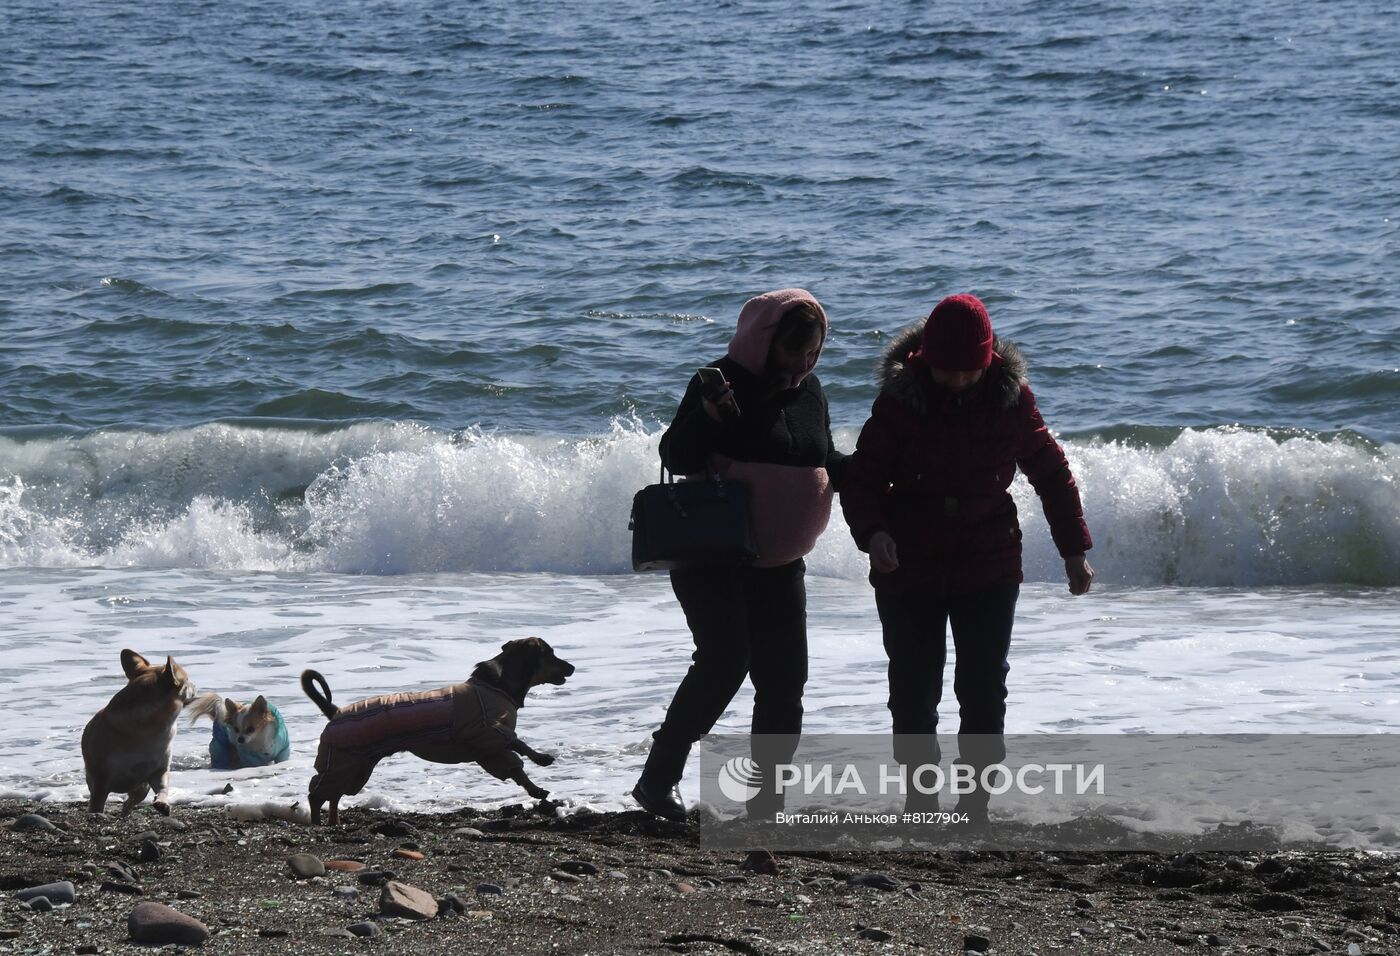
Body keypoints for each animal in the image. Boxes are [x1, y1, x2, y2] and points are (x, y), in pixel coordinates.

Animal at [82, 649, 200, 817]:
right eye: (188, 680)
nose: (195, 684)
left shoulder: (158, 772)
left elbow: (163, 788)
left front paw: (162, 803)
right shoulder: (100, 782)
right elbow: (96, 804)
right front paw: (95, 813)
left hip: (141, 788)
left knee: (130, 801)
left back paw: (125, 813)